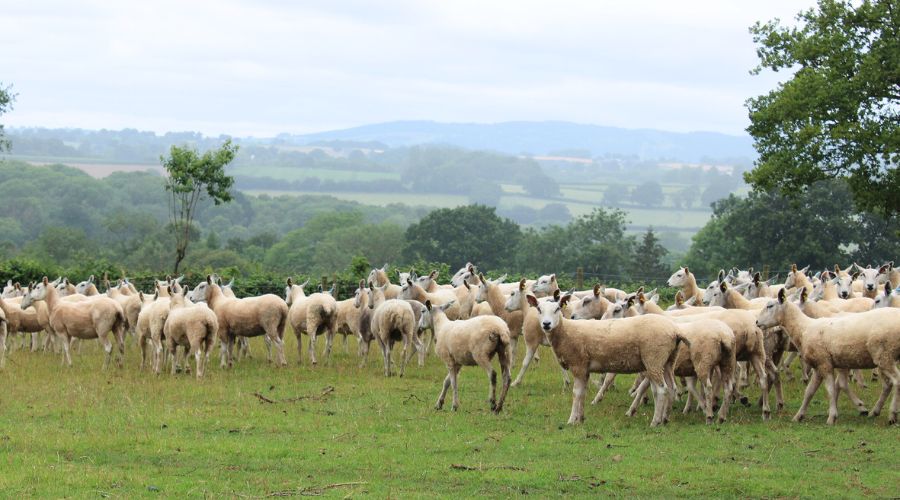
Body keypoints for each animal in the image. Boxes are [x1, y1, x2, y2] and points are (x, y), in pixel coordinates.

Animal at [760, 288, 900, 424]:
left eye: (770, 306)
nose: (757, 322)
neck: (804, 328)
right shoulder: (818, 366)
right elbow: (809, 392)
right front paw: (798, 416)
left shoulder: (824, 364)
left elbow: (831, 389)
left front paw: (832, 416)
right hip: (884, 358)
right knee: (888, 384)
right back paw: (875, 412)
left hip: (885, 356)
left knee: (896, 381)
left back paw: (892, 414)